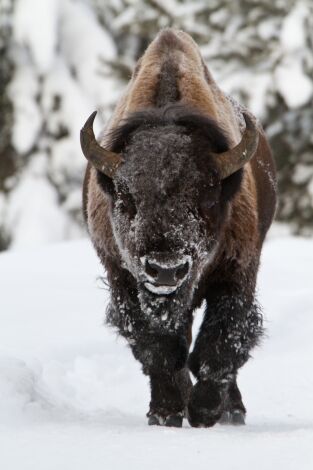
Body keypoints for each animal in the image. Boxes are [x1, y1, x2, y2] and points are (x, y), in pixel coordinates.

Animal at [81, 27, 276, 428]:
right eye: (126, 199)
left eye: (206, 197)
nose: (166, 269)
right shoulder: (123, 280)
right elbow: (158, 350)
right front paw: (166, 413)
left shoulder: (238, 274)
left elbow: (220, 343)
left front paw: (205, 411)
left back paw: (232, 411)